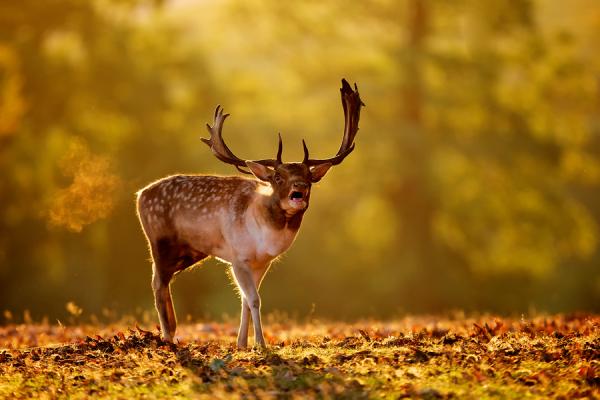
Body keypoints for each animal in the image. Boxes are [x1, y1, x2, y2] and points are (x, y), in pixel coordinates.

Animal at [135, 79, 364, 348]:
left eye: (308, 177)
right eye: (278, 177)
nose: (299, 189)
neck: (264, 236)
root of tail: (140, 195)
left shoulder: (261, 263)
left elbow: (245, 299)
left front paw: (242, 343)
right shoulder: (238, 256)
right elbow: (254, 299)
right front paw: (262, 345)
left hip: (189, 252)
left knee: (163, 281)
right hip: (159, 241)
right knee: (157, 282)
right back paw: (169, 336)